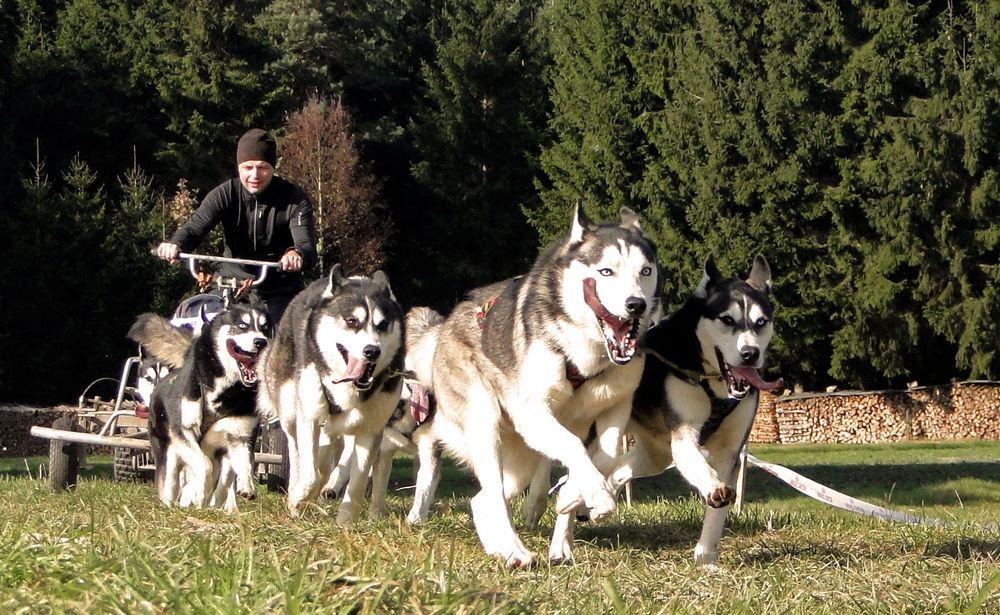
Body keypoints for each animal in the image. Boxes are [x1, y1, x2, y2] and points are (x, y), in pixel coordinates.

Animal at [258, 264, 406, 524]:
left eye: (383, 324)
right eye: (352, 321)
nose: (372, 351)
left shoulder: (372, 428)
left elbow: (356, 483)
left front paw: (345, 523)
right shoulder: (309, 417)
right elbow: (309, 475)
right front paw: (298, 500)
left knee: (328, 455)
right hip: (290, 411)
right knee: (298, 452)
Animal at [402, 207, 660, 568]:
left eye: (645, 271)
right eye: (606, 271)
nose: (636, 304)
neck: (587, 356)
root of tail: (446, 324)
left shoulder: (615, 409)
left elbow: (605, 457)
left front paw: (573, 497)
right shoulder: (533, 413)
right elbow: (574, 447)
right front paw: (597, 494)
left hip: (521, 458)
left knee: (482, 500)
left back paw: (508, 548)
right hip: (485, 425)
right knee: (493, 495)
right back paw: (514, 551)